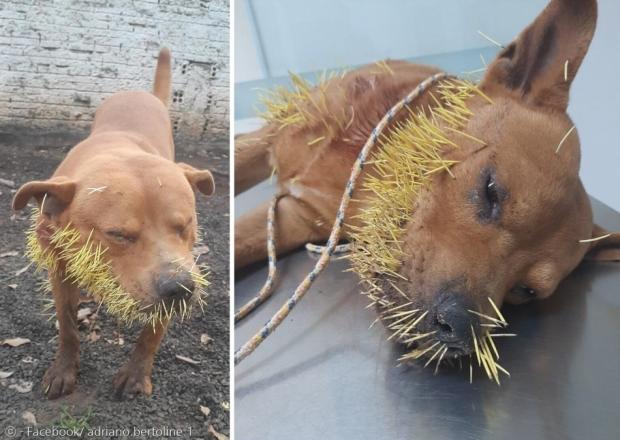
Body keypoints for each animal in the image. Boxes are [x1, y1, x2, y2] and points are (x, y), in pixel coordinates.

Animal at [10, 48, 216, 398]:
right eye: (118, 234)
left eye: (185, 225)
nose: (180, 288)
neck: (119, 151)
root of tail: (141, 93)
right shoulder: (59, 270)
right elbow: (67, 325)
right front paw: (64, 369)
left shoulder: (181, 266)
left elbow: (151, 335)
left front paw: (136, 374)